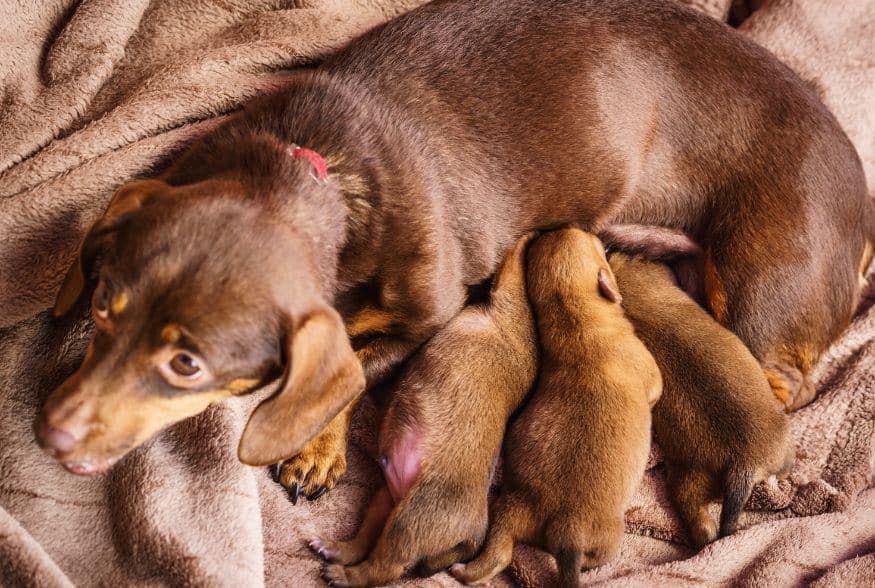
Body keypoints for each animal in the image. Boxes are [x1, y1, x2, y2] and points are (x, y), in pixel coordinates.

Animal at [36, 0, 875, 496]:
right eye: (102, 308)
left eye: (187, 364)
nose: (48, 432)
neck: (320, 170)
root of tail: (863, 203)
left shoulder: (430, 315)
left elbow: (356, 371)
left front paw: (316, 447)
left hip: (761, 287)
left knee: (776, 385)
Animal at [312, 235, 536, 588]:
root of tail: (474, 533)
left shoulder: (507, 293)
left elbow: (513, 260)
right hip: (386, 503)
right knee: (367, 543)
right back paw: (336, 550)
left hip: (409, 521)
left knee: (385, 567)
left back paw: (342, 574)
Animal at [452, 229, 664, 584]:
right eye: (597, 246)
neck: (576, 322)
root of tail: (564, 527)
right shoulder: (650, 374)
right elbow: (656, 390)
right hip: (611, 535)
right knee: (598, 559)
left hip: (505, 513)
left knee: (498, 553)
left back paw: (468, 571)